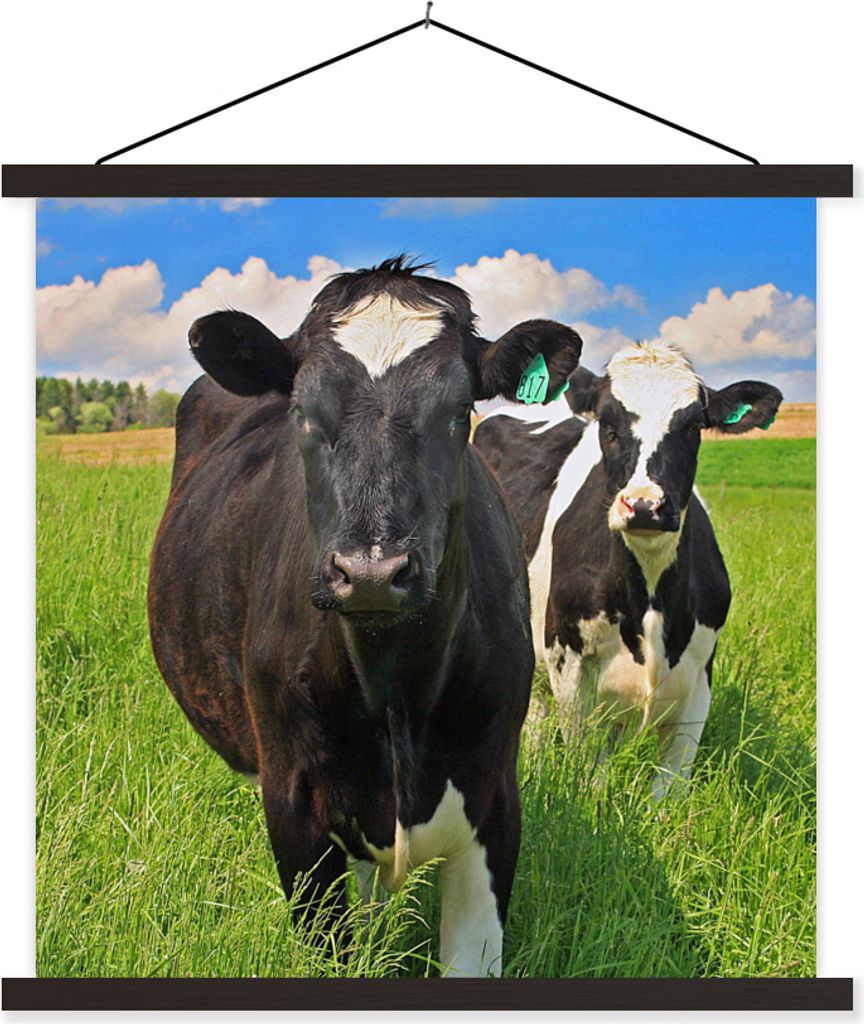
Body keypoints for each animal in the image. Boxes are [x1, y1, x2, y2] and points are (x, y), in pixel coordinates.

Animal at [147, 257, 583, 976]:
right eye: (301, 410)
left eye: (460, 412)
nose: (373, 571)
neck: (395, 688)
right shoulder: (294, 806)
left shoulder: (494, 799)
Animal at [474, 340, 782, 799]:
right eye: (608, 423)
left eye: (694, 426)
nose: (644, 505)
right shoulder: (568, 663)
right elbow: (589, 771)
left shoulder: (700, 675)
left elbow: (668, 790)